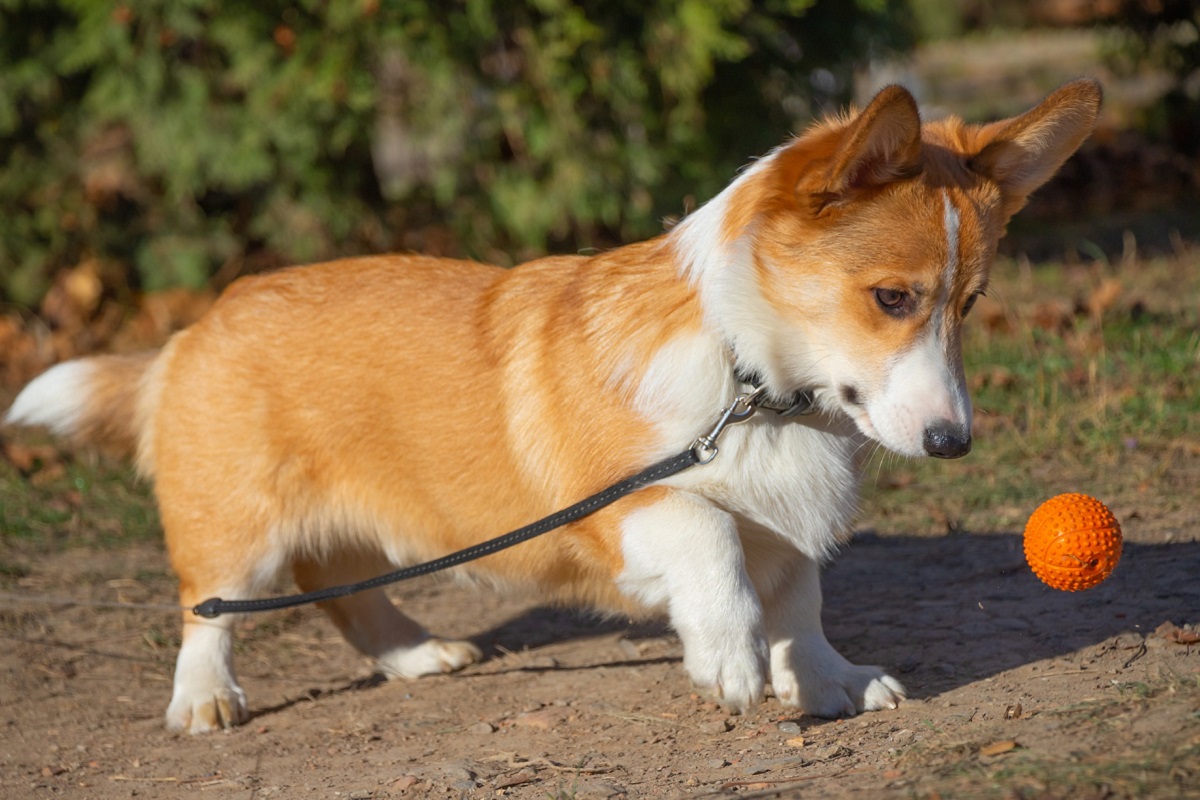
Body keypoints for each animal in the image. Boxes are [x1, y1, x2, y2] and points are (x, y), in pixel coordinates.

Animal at [4, 79, 1099, 734]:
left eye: (969, 304)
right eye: (892, 298)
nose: (953, 443)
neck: (753, 382)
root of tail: (192, 330)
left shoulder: (786, 526)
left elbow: (800, 602)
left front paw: (829, 683)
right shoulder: (629, 503)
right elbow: (712, 543)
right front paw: (733, 664)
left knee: (345, 588)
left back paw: (416, 653)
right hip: (237, 521)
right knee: (210, 603)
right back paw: (205, 698)